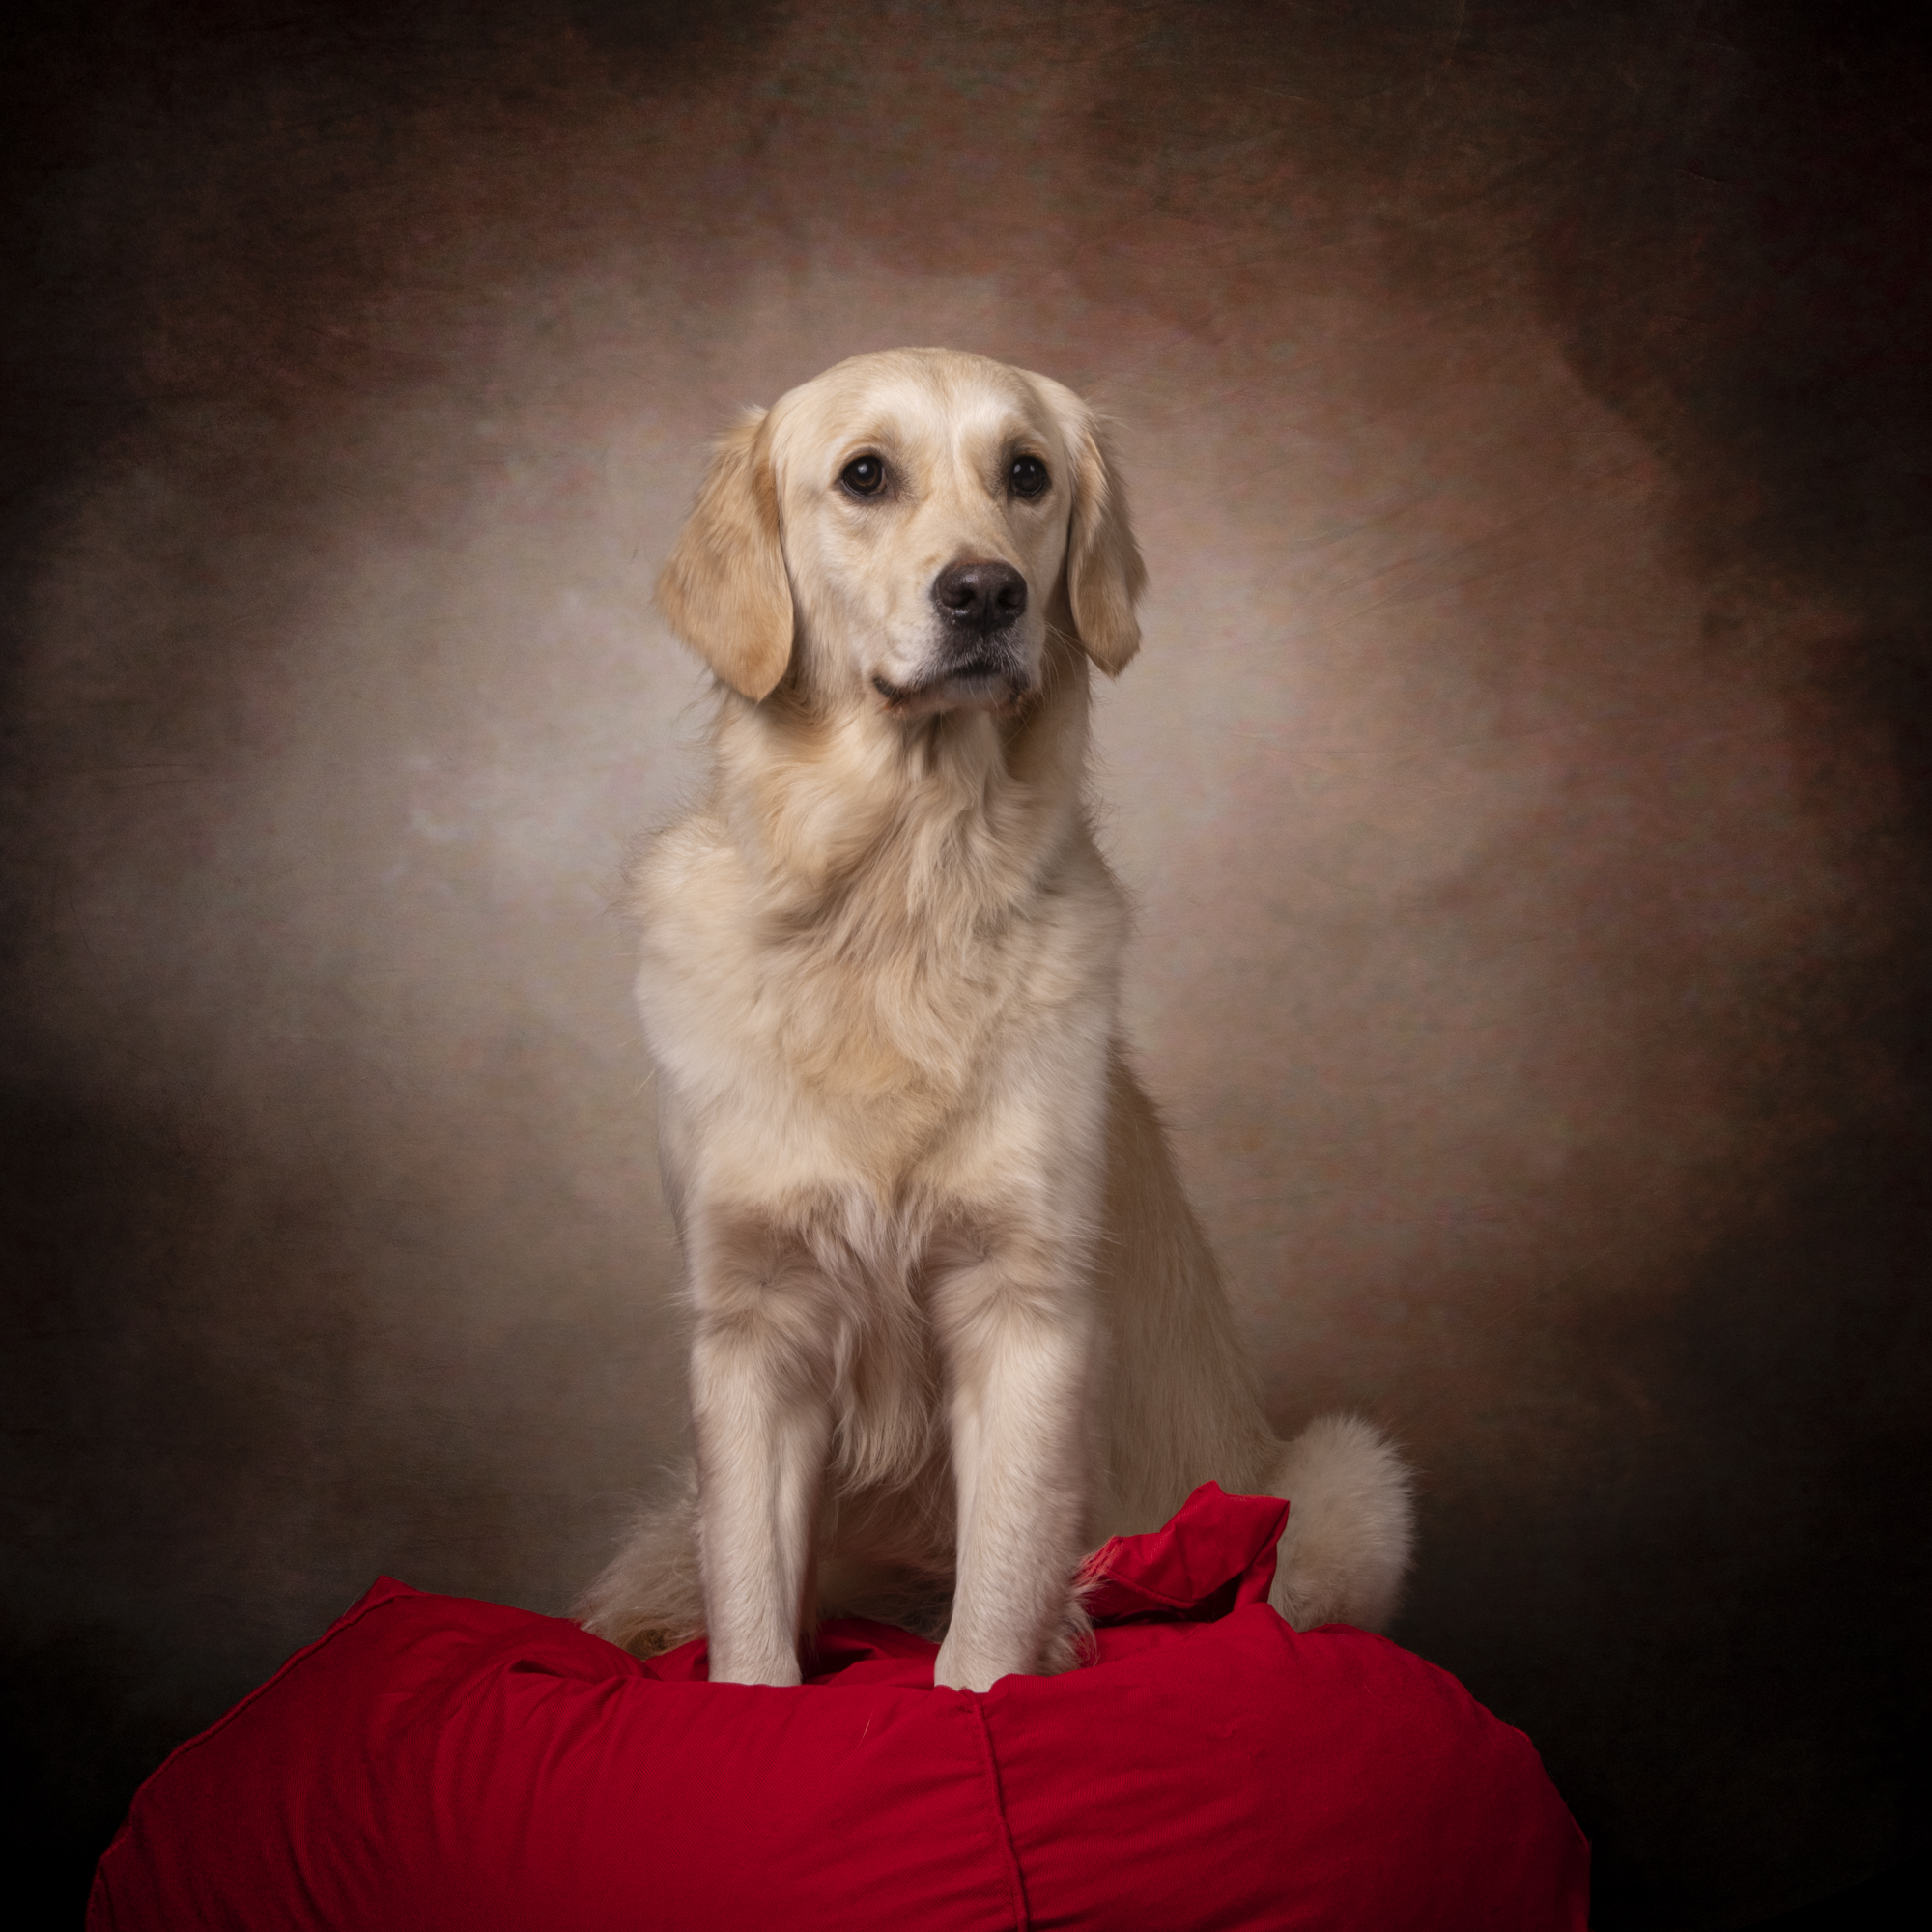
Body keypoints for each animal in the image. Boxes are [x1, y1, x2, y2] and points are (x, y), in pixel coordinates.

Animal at [580, 348, 1414, 1692]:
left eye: (1026, 473)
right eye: (865, 475)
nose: (984, 592)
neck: (897, 899)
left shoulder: (1022, 1309)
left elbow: (994, 1594)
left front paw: (986, 1690)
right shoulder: (749, 1317)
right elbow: (749, 1610)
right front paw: (746, 1693)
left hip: (1350, 1478)